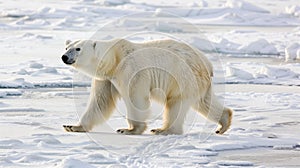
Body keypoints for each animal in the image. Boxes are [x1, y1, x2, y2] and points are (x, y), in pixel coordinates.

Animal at [62, 38, 233, 135]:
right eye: (66, 47)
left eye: (78, 48)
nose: (64, 57)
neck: (114, 59)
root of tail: (208, 64)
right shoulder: (106, 79)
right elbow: (100, 102)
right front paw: (72, 126)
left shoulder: (130, 71)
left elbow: (135, 98)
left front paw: (130, 129)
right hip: (198, 82)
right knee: (204, 102)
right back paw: (223, 123)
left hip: (183, 78)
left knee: (175, 104)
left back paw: (163, 130)